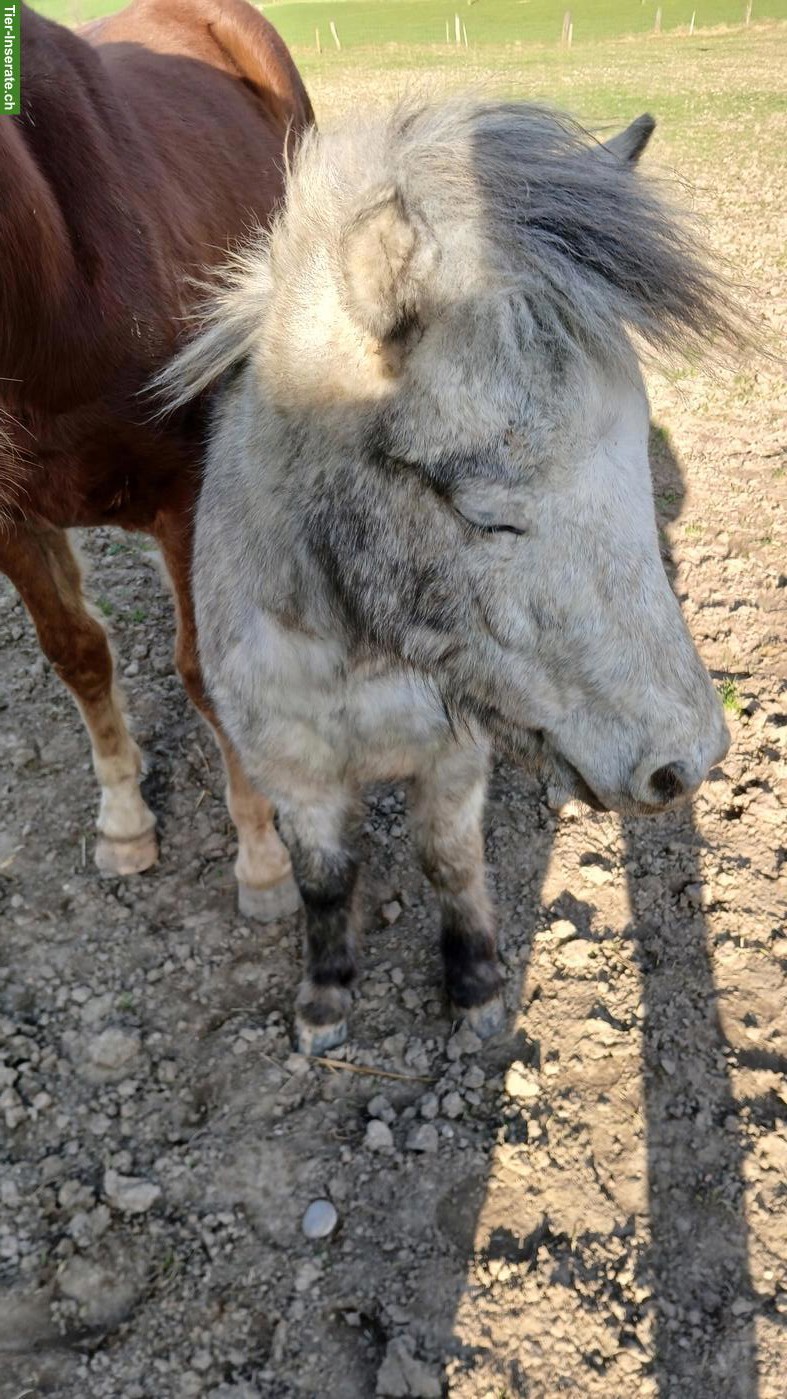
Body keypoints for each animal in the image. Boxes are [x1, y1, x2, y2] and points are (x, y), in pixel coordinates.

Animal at [0, 0, 311, 920]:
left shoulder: (188, 493)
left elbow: (205, 669)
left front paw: (261, 859)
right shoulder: (11, 515)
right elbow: (75, 649)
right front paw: (124, 819)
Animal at [159, 98, 741, 1055]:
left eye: (640, 466)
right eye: (483, 512)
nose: (684, 764)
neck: (356, 647)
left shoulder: (454, 757)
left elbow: (449, 861)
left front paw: (473, 988)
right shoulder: (294, 770)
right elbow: (325, 878)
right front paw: (325, 999)